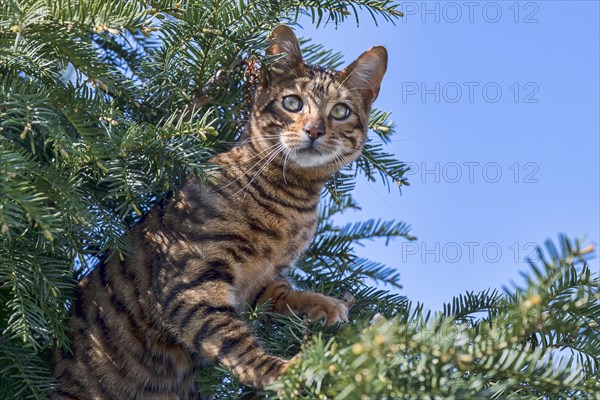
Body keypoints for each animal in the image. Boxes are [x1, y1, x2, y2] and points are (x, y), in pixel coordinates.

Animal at [52, 25, 390, 400]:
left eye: (340, 111)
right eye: (292, 103)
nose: (314, 130)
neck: (290, 202)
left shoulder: (260, 280)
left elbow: (283, 293)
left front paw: (322, 303)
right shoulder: (191, 282)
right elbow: (233, 343)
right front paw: (283, 372)